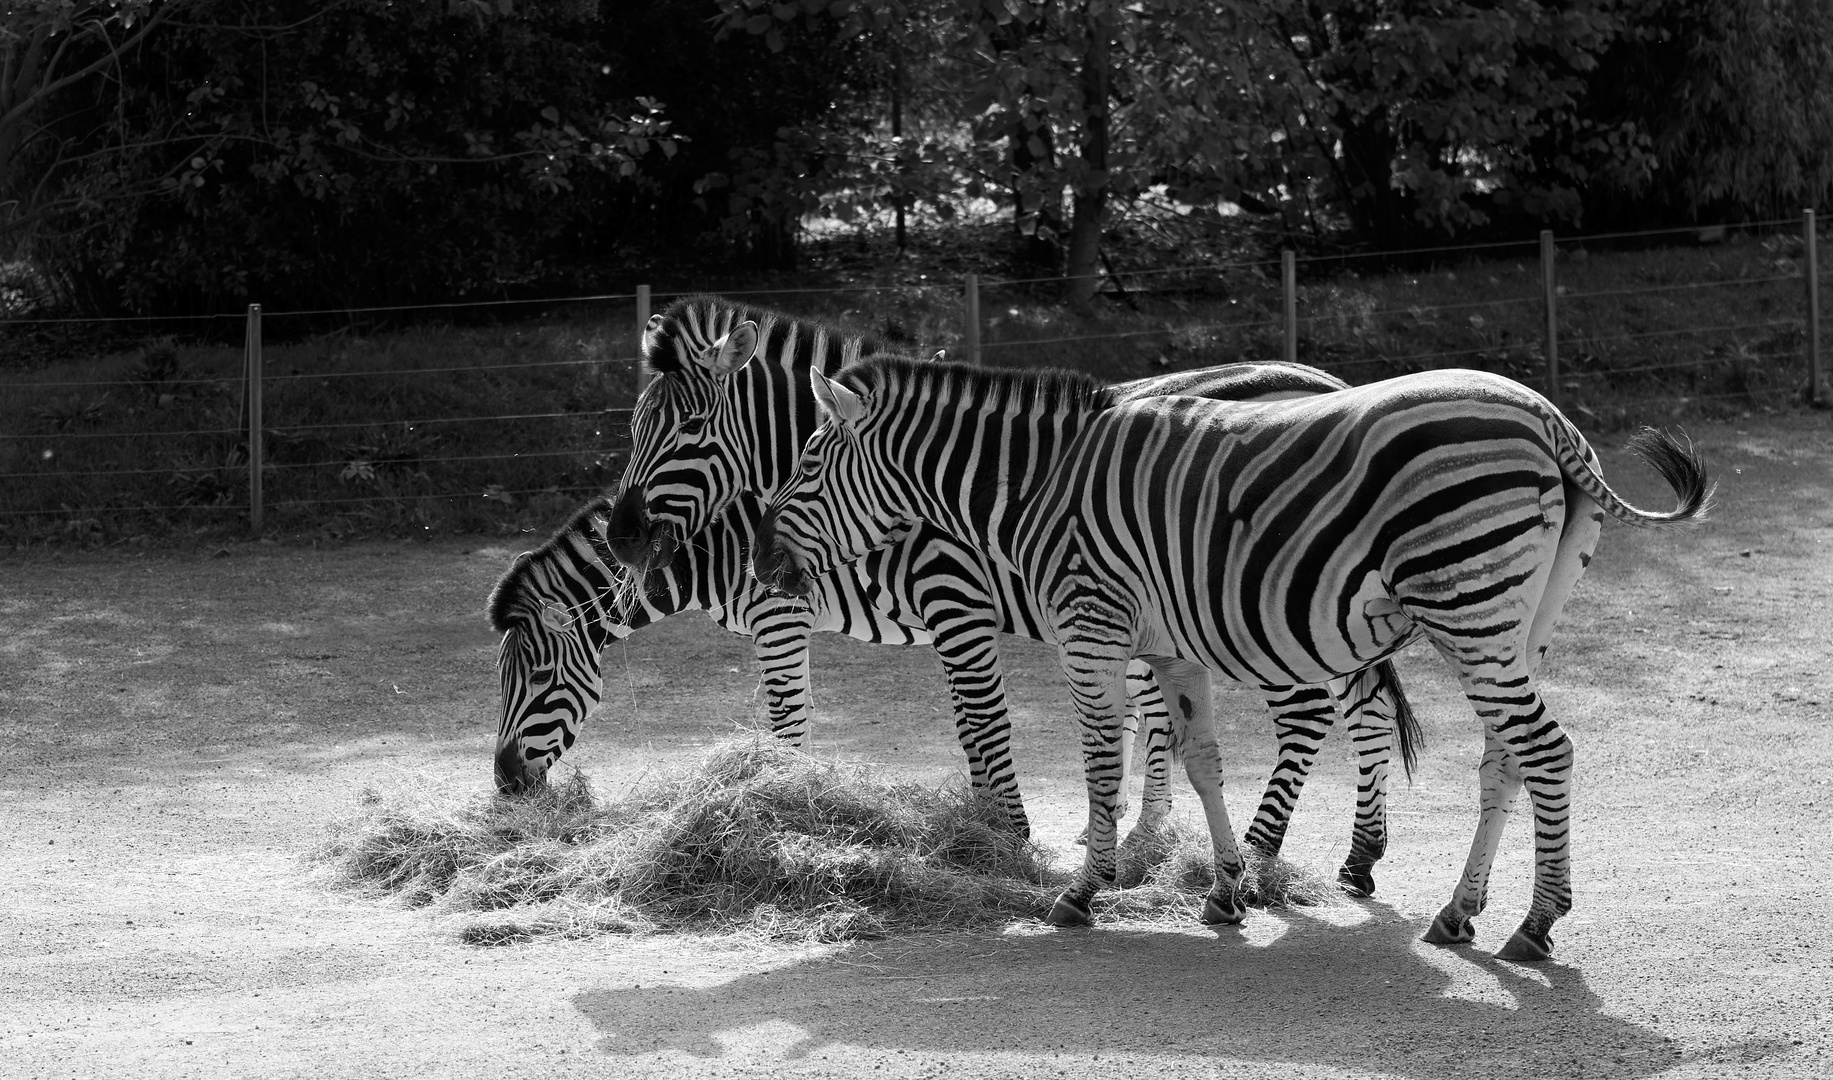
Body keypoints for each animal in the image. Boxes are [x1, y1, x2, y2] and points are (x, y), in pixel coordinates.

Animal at [487, 491, 1180, 821]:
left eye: (543, 677)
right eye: (500, 681)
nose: (505, 783)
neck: (715, 540)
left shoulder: (778, 616)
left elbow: (788, 720)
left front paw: (783, 804)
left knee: (1156, 714)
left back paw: (1147, 843)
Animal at [608, 295, 1422, 891]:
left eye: (689, 427)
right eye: (635, 427)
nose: (620, 538)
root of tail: (1332, 383)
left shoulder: (956, 600)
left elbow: (985, 723)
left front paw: (1009, 839)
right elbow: (970, 727)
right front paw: (987, 830)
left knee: (1313, 712)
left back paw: (1257, 857)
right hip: (1320, 604)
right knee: (1368, 707)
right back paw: (1360, 856)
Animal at [751, 353, 1708, 960]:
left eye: (805, 469)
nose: (762, 563)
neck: (1037, 487)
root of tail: (1543, 416)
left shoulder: (1091, 628)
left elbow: (1100, 763)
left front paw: (1083, 890)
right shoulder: (1168, 644)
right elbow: (1200, 758)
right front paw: (1224, 890)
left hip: (1464, 601)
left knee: (1544, 749)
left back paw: (1538, 923)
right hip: (1514, 619)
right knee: (1505, 755)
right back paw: (1457, 912)